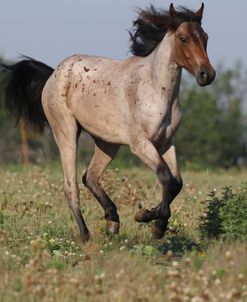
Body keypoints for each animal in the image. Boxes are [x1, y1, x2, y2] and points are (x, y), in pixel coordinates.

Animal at [0, 2, 214, 241]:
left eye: (205, 37)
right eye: (184, 38)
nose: (207, 75)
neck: (154, 90)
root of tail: (54, 74)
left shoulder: (166, 143)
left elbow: (176, 183)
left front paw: (148, 217)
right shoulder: (141, 144)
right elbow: (166, 178)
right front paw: (154, 223)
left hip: (107, 143)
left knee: (90, 177)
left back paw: (113, 220)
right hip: (66, 132)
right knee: (71, 185)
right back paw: (86, 236)